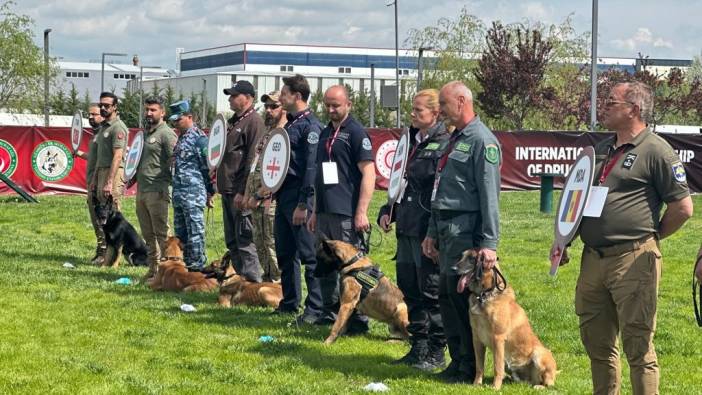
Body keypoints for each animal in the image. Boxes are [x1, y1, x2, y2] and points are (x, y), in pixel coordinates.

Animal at [456, 251, 560, 390]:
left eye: (472, 258)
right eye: (462, 256)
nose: (453, 268)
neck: (483, 295)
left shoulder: (498, 339)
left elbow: (497, 368)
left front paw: (495, 387)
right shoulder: (477, 339)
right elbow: (479, 366)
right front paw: (476, 384)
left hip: (539, 353)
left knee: (549, 384)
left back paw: (539, 387)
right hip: (510, 364)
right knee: (526, 381)